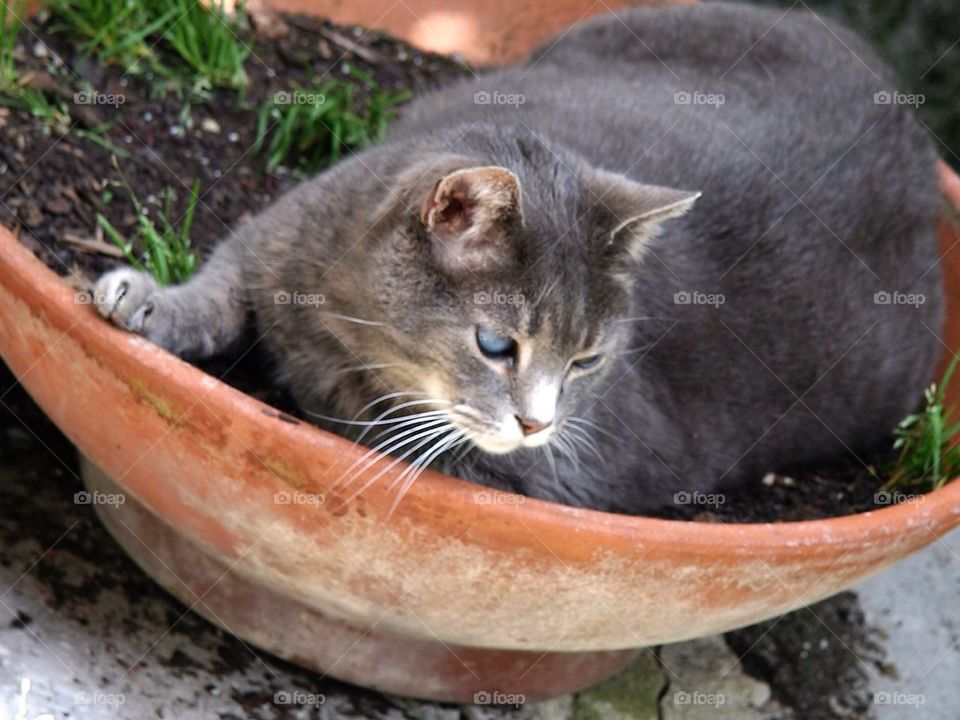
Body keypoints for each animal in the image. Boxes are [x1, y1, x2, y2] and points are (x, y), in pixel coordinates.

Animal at [92, 2, 944, 516]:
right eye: (497, 345)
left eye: (588, 361)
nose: (538, 423)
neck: (344, 322)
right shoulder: (281, 229)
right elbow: (220, 282)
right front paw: (143, 300)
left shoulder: (580, 467)